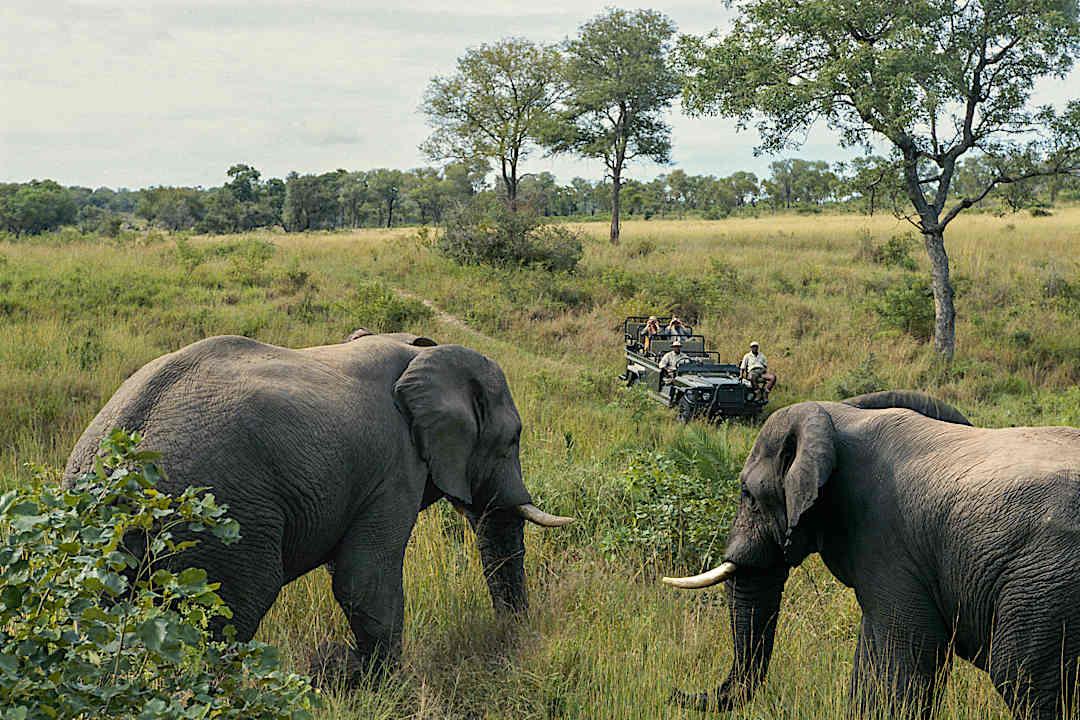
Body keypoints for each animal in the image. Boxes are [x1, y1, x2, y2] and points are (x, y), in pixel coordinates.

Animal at [65, 332, 572, 678]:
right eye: (513, 440)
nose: (515, 639)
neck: (420, 351)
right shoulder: (394, 467)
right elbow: (363, 580)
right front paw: (376, 685)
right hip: (227, 520)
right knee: (234, 613)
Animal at [662, 390, 1080, 719]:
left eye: (747, 495)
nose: (675, 691)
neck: (842, 417)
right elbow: (871, 658)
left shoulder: (888, 542)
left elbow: (905, 657)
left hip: (1046, 585)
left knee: (1025, 679)